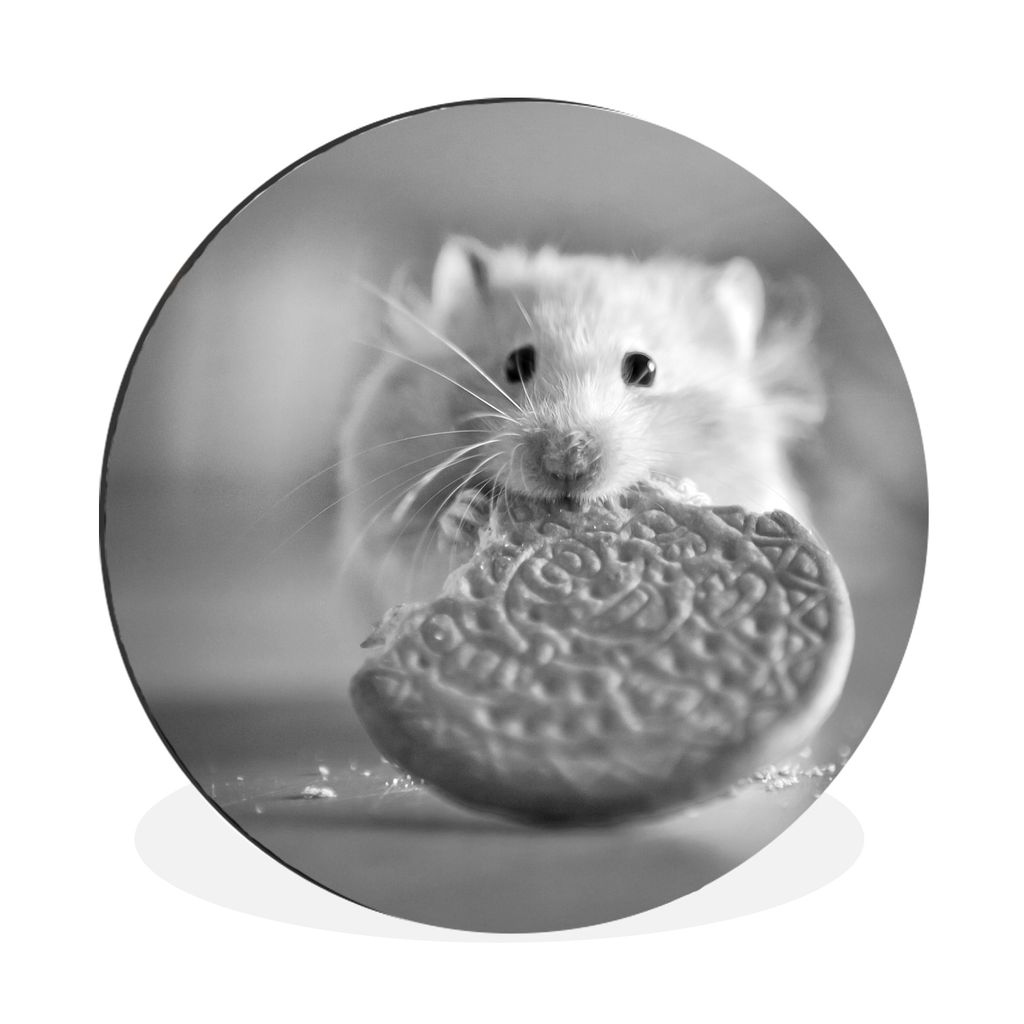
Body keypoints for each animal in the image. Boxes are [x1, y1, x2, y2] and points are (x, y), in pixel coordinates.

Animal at [338, 237, 823, 618]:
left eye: (644, 368)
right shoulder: (381, 535)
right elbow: (417, 548)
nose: (567, 460)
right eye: (516, 363)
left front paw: (686, 493)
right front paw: (467, 513)